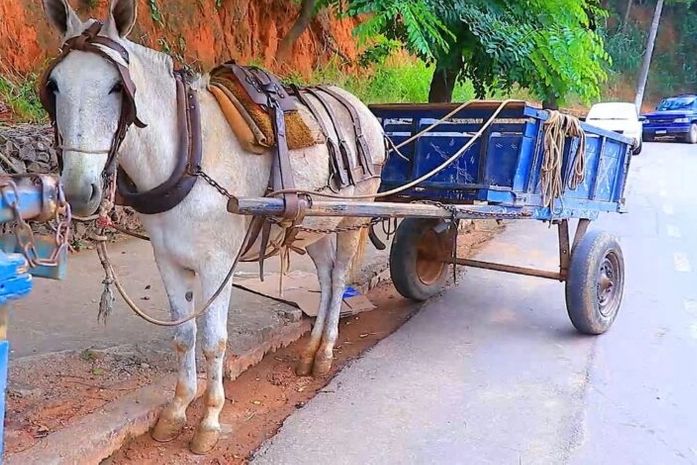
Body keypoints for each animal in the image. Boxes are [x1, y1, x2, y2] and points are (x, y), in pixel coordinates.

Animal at [41, 0, 385, 454]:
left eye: (117, 88)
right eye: (55, 86)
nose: (80, 191)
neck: (189, 154)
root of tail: (361, 108)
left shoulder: (218, 265)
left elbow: (213, 342)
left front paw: (209, 422)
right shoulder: (168, 261)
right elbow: (184, 335)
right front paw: (175, 411)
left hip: (350, 219)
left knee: (341, 274)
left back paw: (326, 352)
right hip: (313, 225)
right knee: (328, 279)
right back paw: (310, 352)